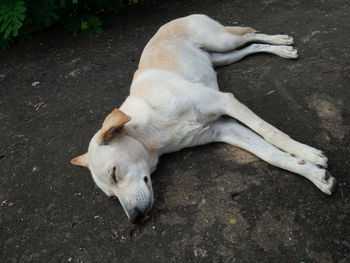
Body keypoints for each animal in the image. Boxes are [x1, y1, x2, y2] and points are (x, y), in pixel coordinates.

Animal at [71, 14, 336, 224]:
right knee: (248, 48)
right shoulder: (224, 130)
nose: (134, 219)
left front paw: (308, 153)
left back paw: (282, 41)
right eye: (111, 196)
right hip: (221, 58)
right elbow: (271, 155)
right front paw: (314, 174)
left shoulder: (225, 101)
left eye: (114, 173)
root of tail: (172, 19)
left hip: (221, 41)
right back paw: (282, 49)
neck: (149, 131)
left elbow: (271, 133)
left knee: (250, 34)